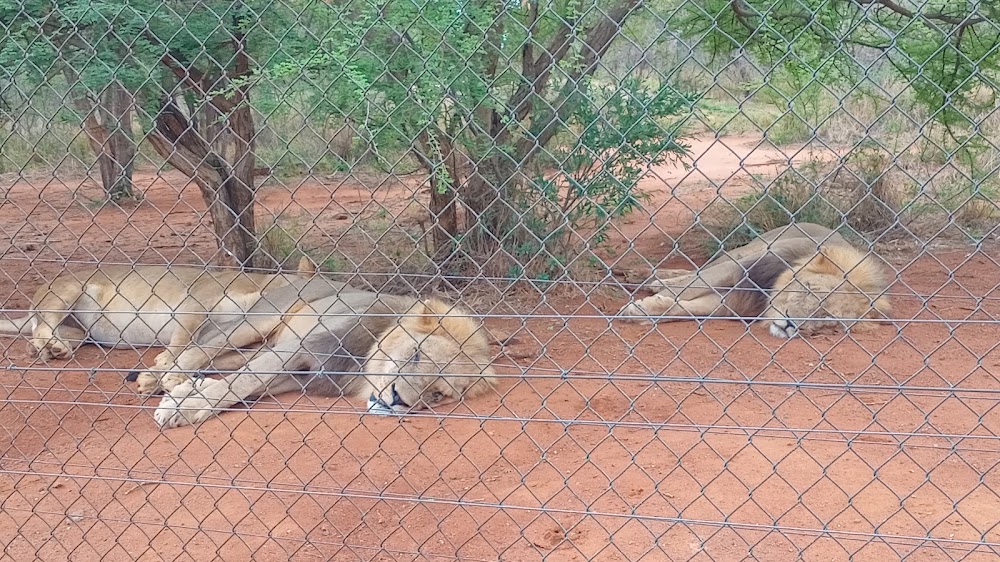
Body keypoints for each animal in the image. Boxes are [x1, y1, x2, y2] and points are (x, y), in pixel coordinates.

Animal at [0, 258, 328, 393]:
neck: (262, 287)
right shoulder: (196, 301)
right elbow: (182, 340)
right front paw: (164, 362)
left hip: (80, 331)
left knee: (42, 334)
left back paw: (51, 349)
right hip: (68, 290)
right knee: (43, 325)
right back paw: (51, 348)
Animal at [151, 279, 497, 428]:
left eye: (437, 394)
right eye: (416, 356)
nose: (398, 400)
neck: (361, 369)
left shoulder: (302, 376)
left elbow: (247, 386)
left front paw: (193, 393)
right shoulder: (299, 348)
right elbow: (244, 381)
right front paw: (182, 407)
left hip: (261, 342)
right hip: (260, 320)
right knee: (203, 344)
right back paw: (167, 374)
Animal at [618, 223, 892, 338]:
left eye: (828, 318)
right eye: (809, 289)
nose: (790, 324)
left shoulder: (737, 302)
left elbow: (688, 308)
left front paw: (644, 310)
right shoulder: (740, 268)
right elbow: (688, 286)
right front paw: (637, 306)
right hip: (745, 249)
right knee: (698, 270)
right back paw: (647, 278)